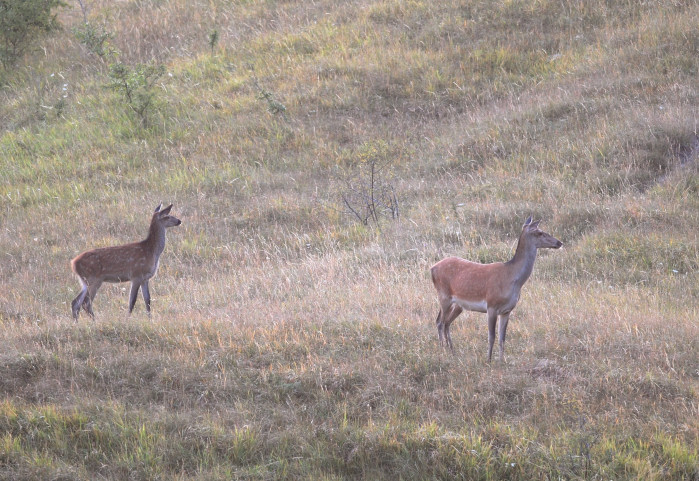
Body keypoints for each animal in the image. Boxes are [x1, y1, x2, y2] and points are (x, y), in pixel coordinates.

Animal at [432, 217, 564, 360]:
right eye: (539, 232)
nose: (559, 242)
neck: (512, 278)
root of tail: (432, 268)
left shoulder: (507, 310)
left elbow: (502, 338)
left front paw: (501, 360)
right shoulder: (491, 305)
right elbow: (491, 336)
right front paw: (488, 360)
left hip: (458, 305)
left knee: (446, 322)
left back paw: (452, 350)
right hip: (444, 296)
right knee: (440, 322)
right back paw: (442, 350)